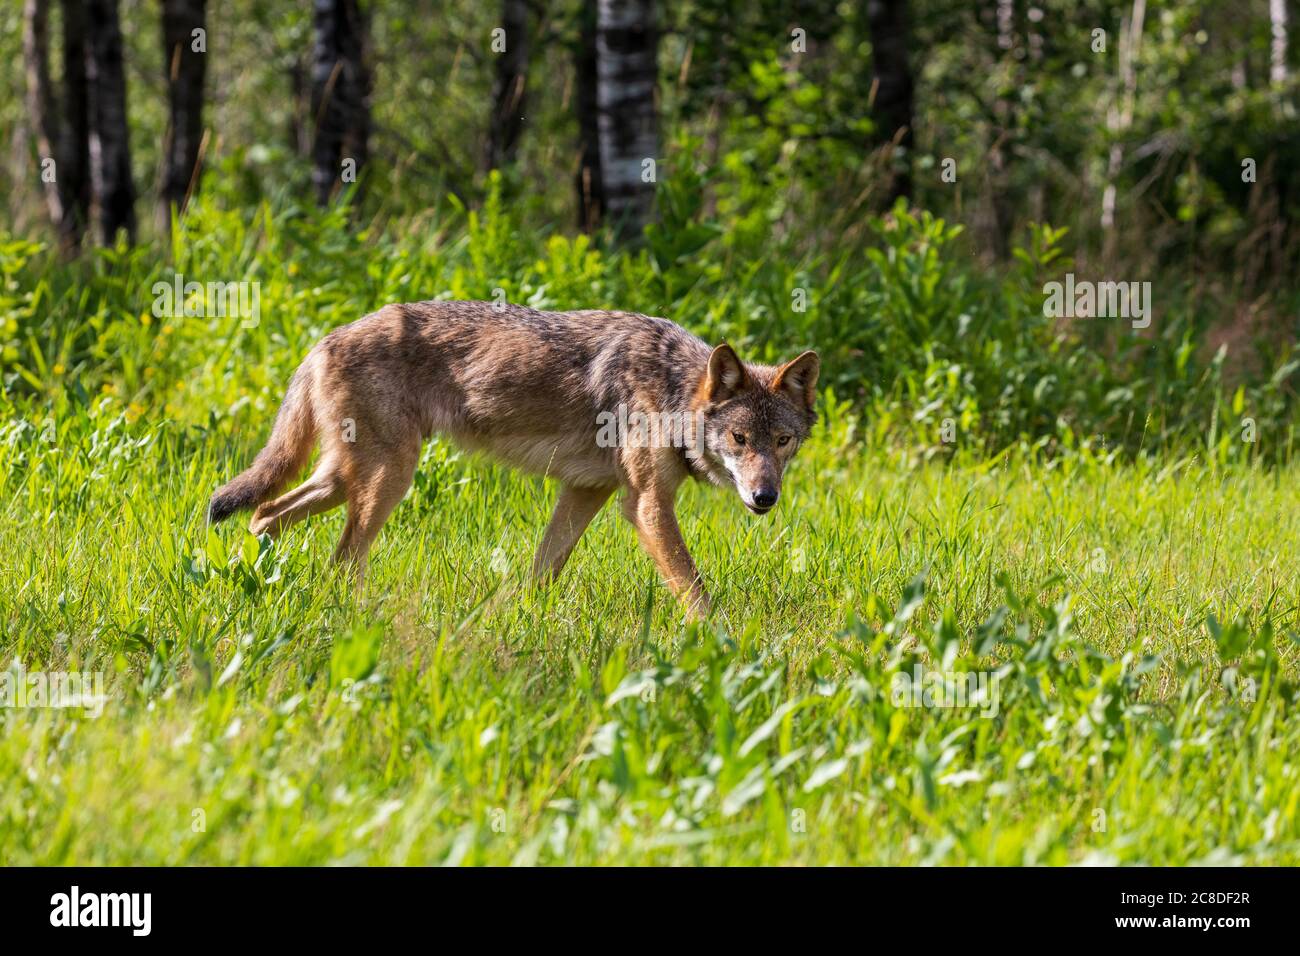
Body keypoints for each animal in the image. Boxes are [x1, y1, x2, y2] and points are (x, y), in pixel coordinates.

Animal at [210, 300, 821, 621]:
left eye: (782, 441)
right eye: (739, 438)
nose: (765, 498)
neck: (672, 391)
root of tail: (324, 339)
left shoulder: (586, 491)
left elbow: (542, 570)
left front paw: (521, 617)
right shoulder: (645, 505)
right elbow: (695, 589)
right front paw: (721, 643)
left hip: (343, 479)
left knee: (263, 514)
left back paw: (256, 577)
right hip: (386, 481)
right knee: (339, 559)